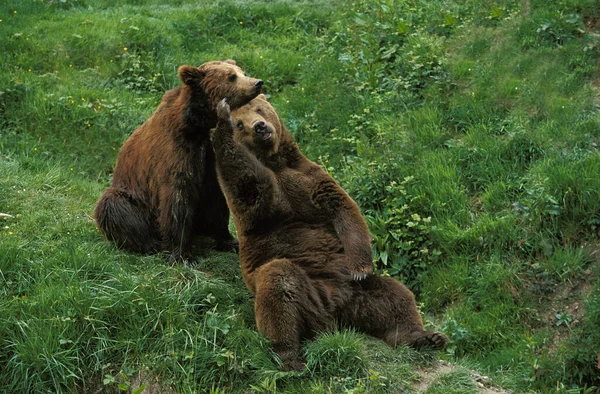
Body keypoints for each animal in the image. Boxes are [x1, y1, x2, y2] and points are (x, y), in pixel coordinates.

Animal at [94, 59, 262, 262]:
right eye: (231, 76)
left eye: (241, 72)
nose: (257, 82)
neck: (198, 126)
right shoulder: (177, 152)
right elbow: (177, 198)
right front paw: (183, 255)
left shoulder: (208, 157)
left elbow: (216, 198)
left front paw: (230, 241)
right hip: (134, 200)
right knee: (114, 207)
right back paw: (150, 244)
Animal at [213, 94, 448, 370]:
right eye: (241, 123)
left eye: (260, 109)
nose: (260, 126)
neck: (275, 161)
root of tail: (337, 314)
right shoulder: (261, 205)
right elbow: (246, 185)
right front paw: (222, 120)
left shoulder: (310, 178)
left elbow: (344, 209)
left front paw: (360, 268)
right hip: (309, 291)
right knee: (279, 285)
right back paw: (289, 356)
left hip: (361, 292)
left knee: (397, 297)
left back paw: (425, 337)